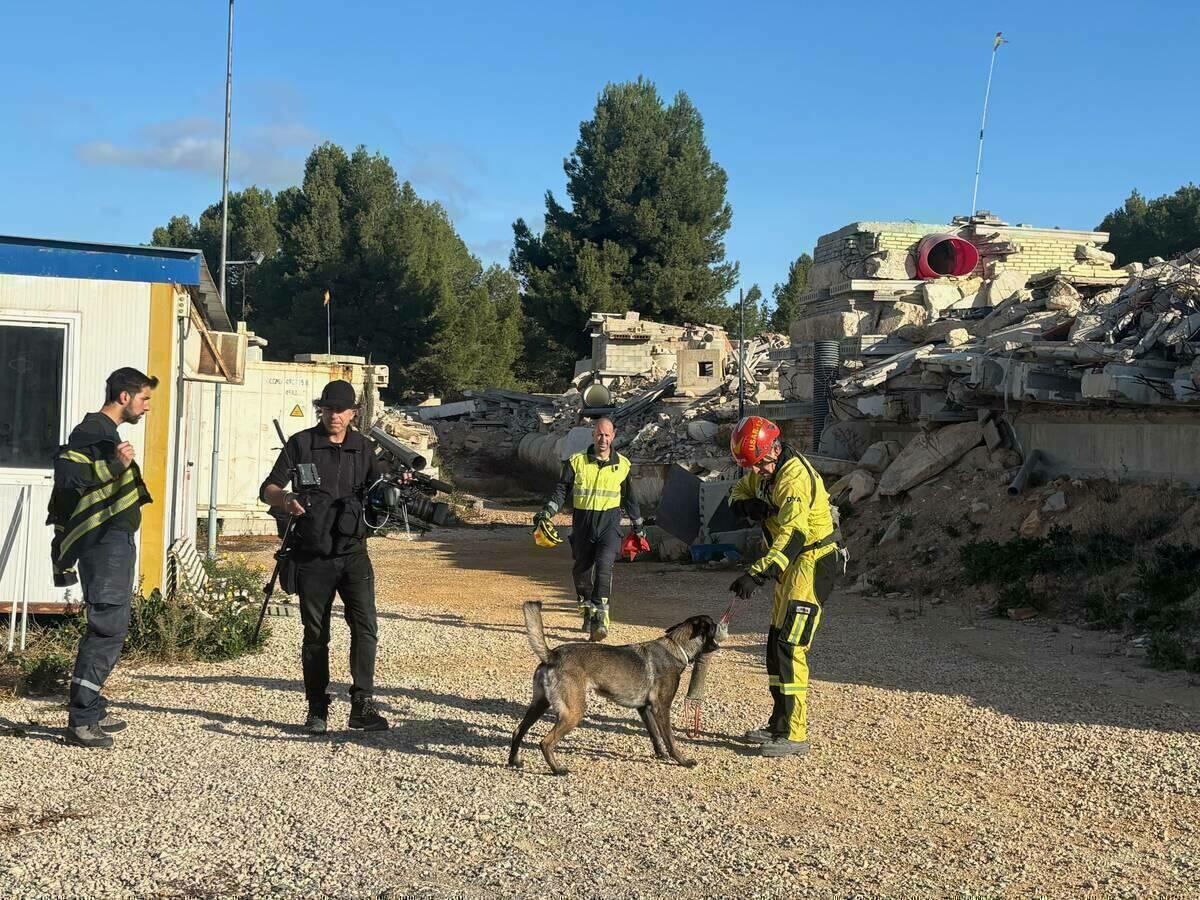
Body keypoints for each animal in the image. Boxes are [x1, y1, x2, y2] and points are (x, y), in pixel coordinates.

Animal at [508, 600, 720, 777]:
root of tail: (552, 655)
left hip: (539, 704)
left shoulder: (644, 709)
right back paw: (558, 770)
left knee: (518, 731)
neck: (676, 647)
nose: (719, 643)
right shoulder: (661, 708)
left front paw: (661, 754)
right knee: (545, 742)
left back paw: (514, 761)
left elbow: (654, 735)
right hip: (573, 712)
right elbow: (670, 738)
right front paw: (682, 761)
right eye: (714, 627)